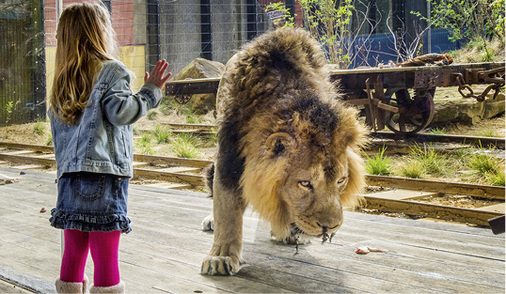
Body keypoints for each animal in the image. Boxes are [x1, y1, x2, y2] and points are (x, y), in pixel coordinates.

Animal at [201, 27, 368, 276]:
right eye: (305, 183)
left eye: (341, 181)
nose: (331, 227)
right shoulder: (229, 157)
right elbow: (227, 209)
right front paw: (221, 257)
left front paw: (290, 231)